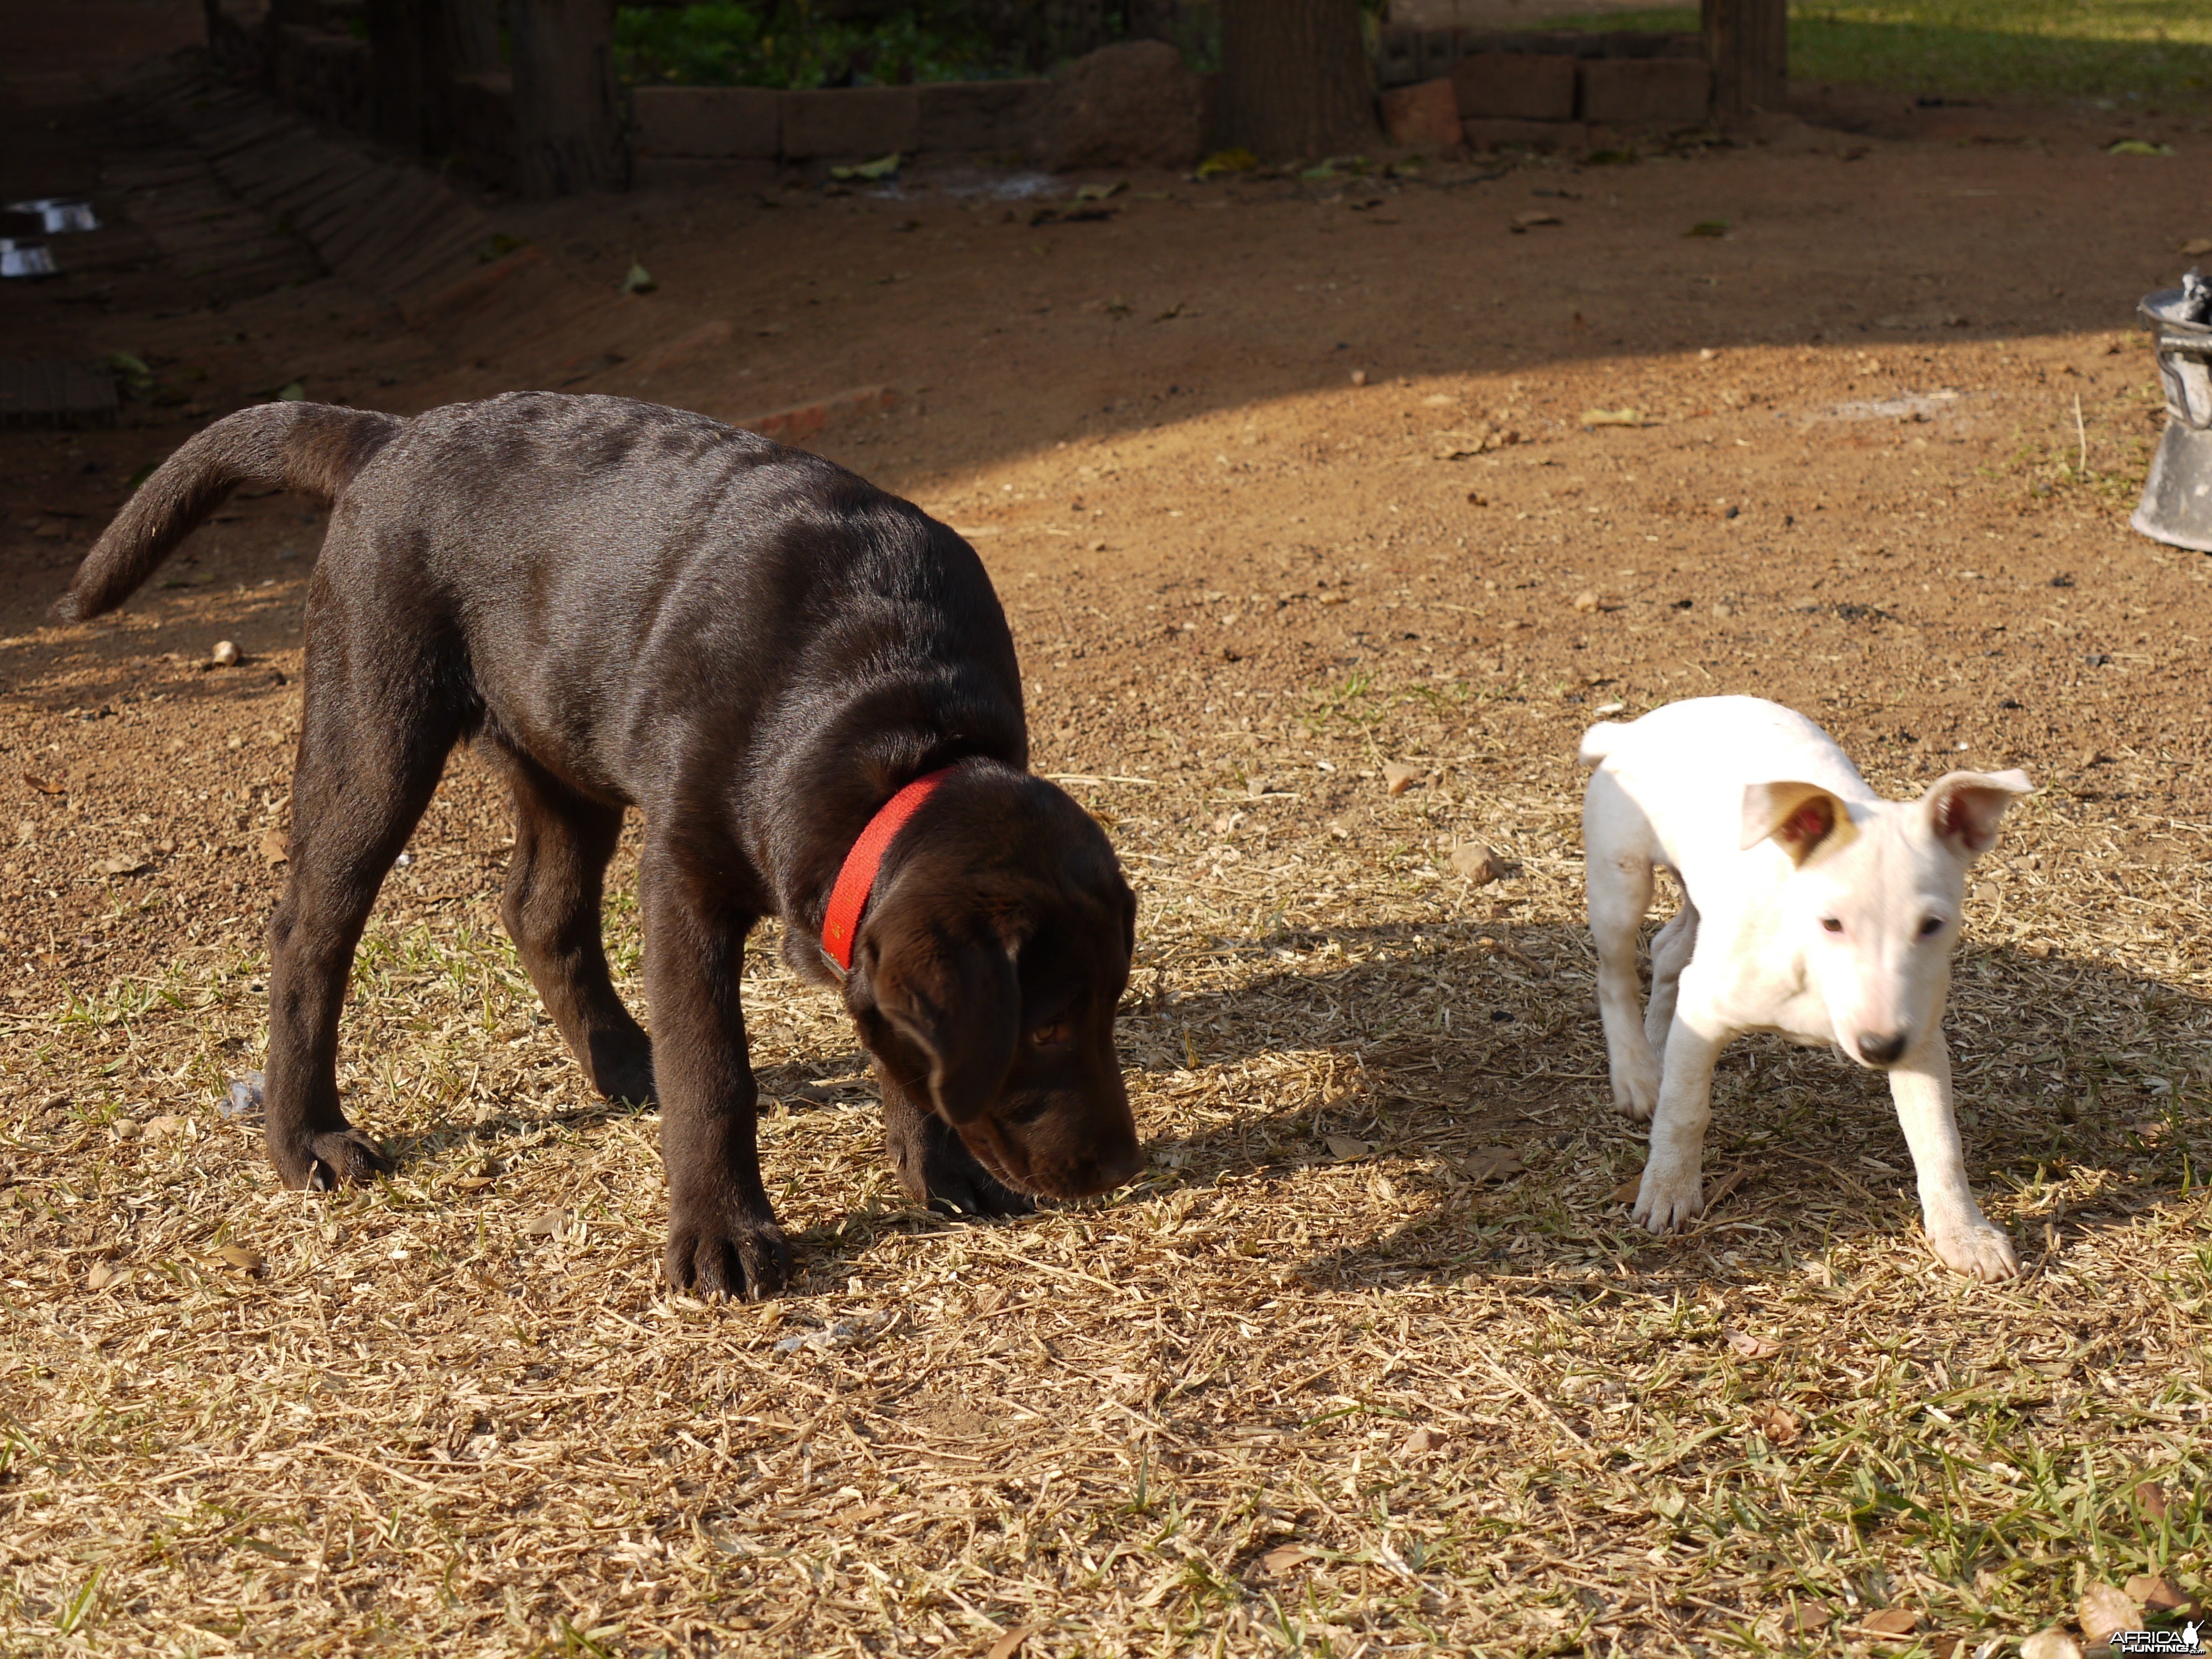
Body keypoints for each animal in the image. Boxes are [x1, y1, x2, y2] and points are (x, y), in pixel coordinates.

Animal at [1584, 695, 2026, 1283]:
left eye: (1932, 925)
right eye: (1831, 923)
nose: (1879, 1049)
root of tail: (1633, 727)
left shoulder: (1920, 1038)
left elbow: (1938, 1140)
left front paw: (1964, 1233)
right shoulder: (1707, 1012)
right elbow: (1685, 1110)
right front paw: (1669, 1191)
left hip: (1700, 900)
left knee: (1669, 948)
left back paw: (1656, 1040)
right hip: (1621, 880)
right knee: (1615, 974)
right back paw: (1635, 1072)